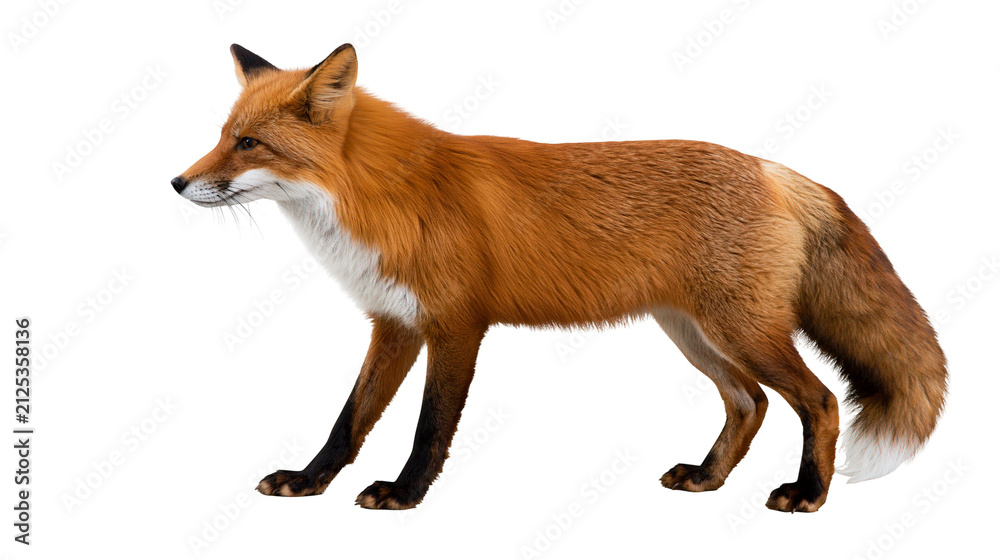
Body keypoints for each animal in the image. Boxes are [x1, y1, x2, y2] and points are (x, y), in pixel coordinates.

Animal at [172, 43, 947, 513]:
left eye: (249, 144)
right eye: (222, 135)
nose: (176, 183)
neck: (384, 198)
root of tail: (773, 168)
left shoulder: (456, 326)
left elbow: (429, 427)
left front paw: (404, 493)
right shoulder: (393, 323)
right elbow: (349, 419)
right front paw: (309, 482)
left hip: (742, 331)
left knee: (818, 400)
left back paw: (808, 494)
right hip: (695, 334)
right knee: (749, 404)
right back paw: (706, 477)